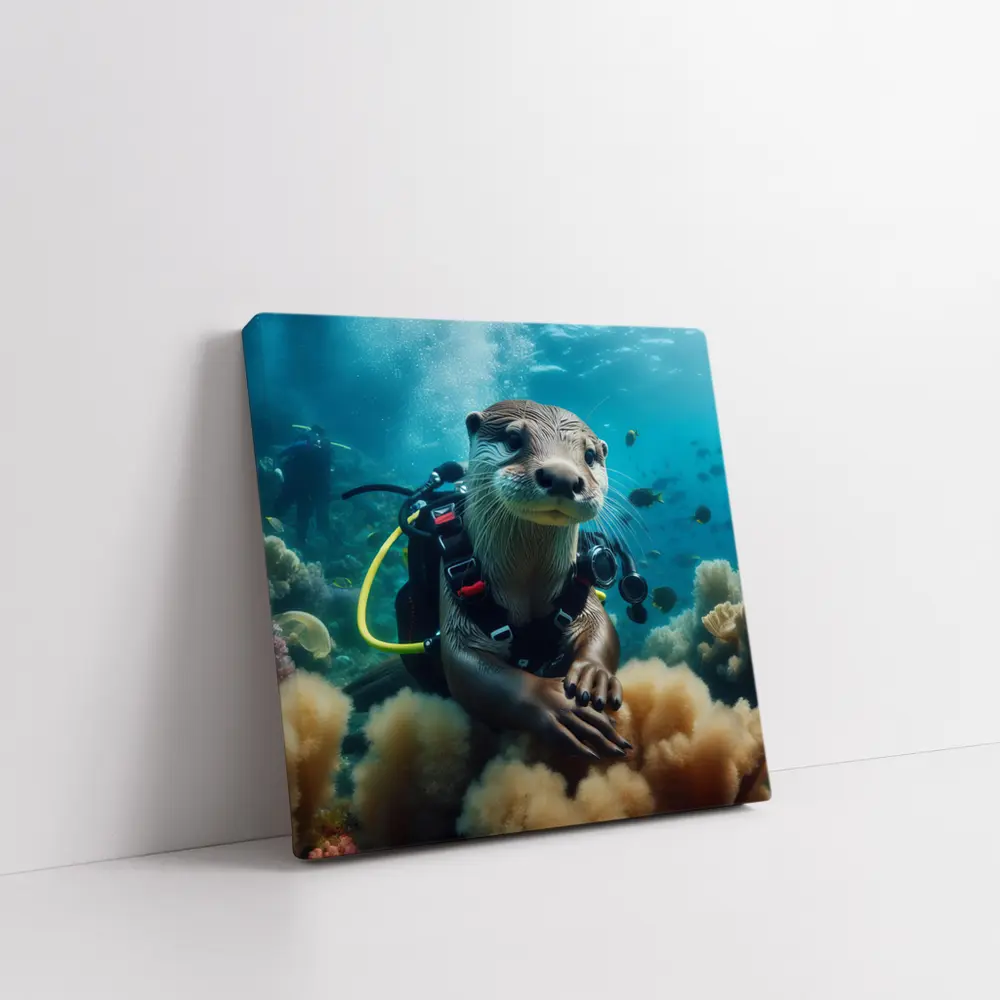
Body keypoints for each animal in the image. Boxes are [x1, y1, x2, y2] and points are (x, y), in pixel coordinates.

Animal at [439, 400, 632, 760]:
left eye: (589, 455)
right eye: (514, 439)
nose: (562, 477)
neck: (526, 581)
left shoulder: (579, 588)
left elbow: (601, 625)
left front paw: (593, 674)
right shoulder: (455, 597)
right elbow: (464, 667)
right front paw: (554, 703)